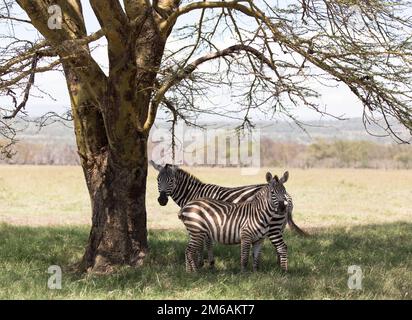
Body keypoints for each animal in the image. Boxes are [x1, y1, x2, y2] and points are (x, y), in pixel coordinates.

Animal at [150, 162, 306, 268]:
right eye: (157, 180)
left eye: (171, 181)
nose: (161, 200)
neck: (195, 193)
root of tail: (287, 196)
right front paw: (204, 263)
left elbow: (206, 243)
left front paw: (206, 263)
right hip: (280, 226)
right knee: (280, 248)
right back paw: (277, 267)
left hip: (274, 225)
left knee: (281, 246)